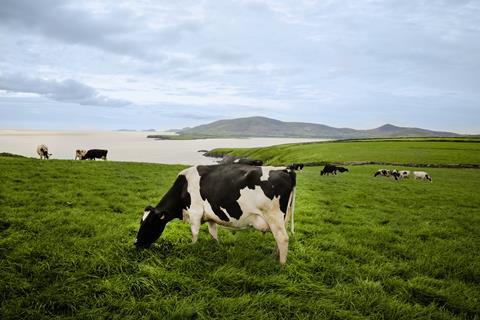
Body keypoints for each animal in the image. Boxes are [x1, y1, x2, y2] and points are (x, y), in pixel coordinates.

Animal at [133, 164, 298, 264]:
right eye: (141, 222)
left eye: (149, 223)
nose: (136, 243)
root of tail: (285, 170)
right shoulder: (210, 215)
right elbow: (213, 232)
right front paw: (216, 247)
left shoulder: (195, 212)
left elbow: (194, 233)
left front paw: (192, 248)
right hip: (282, 219)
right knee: (278, 239)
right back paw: (274, 256)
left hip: (274, 216)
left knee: (283, 239)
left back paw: (281, 265)